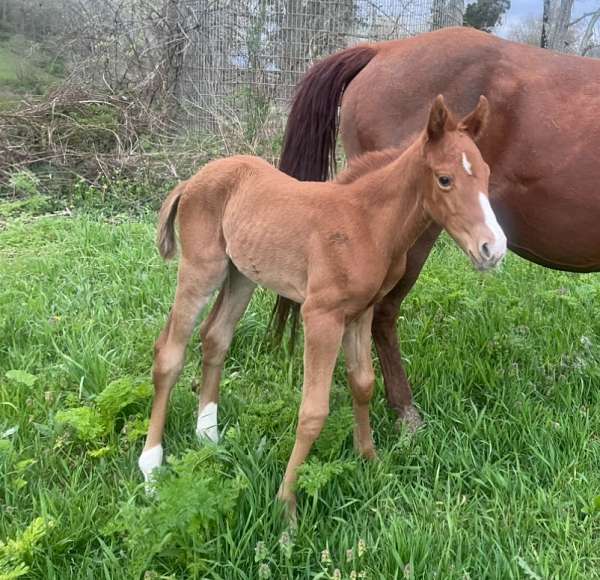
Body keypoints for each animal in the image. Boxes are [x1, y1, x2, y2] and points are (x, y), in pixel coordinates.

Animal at [139, 96, 506, 516]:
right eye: (445, 179)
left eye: (485, 173)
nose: (493, 249)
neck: (367, 223)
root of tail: (192, 180)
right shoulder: (321, 316)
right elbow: (313, 410)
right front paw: (286, 506)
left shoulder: (360, 312)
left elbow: (363, 384)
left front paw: (370, 461)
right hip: (202, 269)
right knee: (170, 352)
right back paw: (151, 469)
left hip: (241, 274)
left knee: (215, 337)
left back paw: (208, 437)